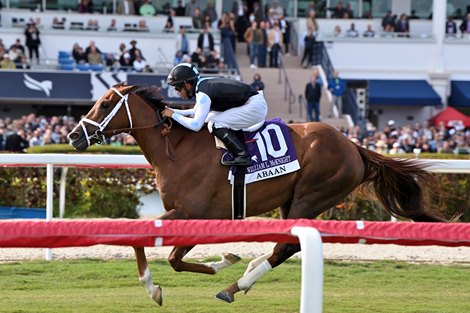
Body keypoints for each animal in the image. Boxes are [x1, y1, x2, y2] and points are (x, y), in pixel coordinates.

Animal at [68, 82, 446, 304]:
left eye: (105, 104)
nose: (73, 136)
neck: (177, 149)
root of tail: (353, 146)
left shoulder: (195, 211)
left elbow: (159, 251)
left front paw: (158, 287)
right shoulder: (199, 214)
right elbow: (170, 256)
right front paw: (224, 259)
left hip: (312, 194)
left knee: (287, 246)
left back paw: (236, 285)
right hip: (291, 201)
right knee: (286, 244)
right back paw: (246, 272)